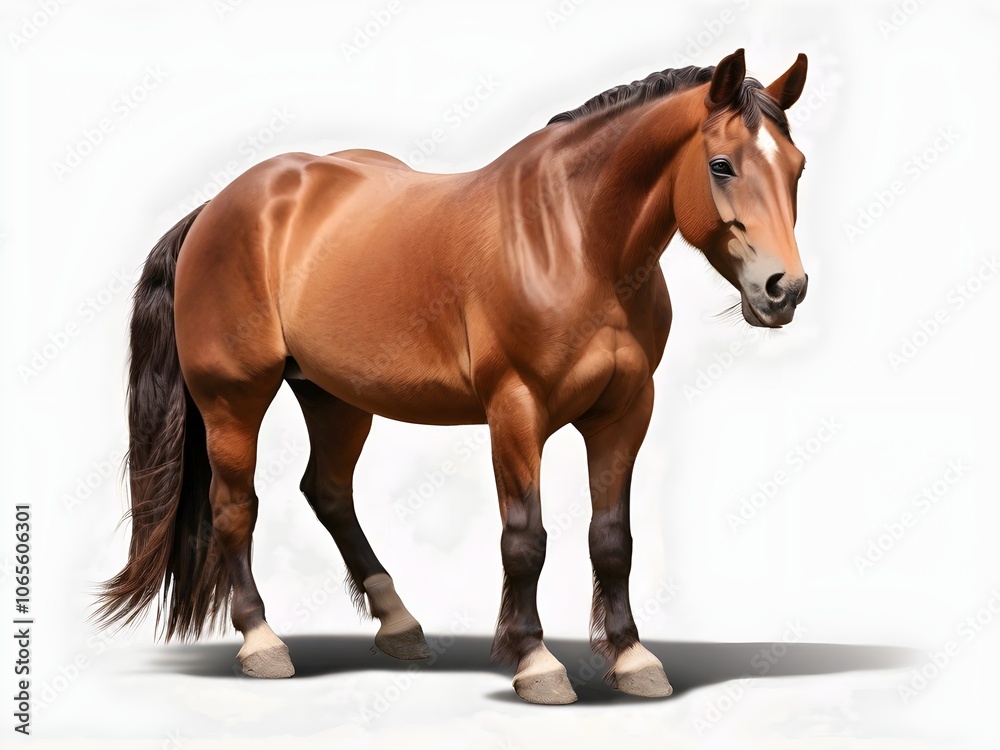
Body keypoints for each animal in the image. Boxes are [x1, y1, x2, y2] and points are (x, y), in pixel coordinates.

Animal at [97, 48, 809, 705]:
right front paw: (536, 662)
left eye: (797, 167)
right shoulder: (516, 410)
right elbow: (525, 539)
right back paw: (262, 641)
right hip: (234, 399)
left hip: (334, 397)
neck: (574, 240)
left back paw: (399, 623)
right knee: (235, 506)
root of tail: (218, 206)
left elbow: (612, 540)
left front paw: (633, 659)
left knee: (326, 492)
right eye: (722, 165)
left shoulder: (625, 411)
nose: (785, 289)